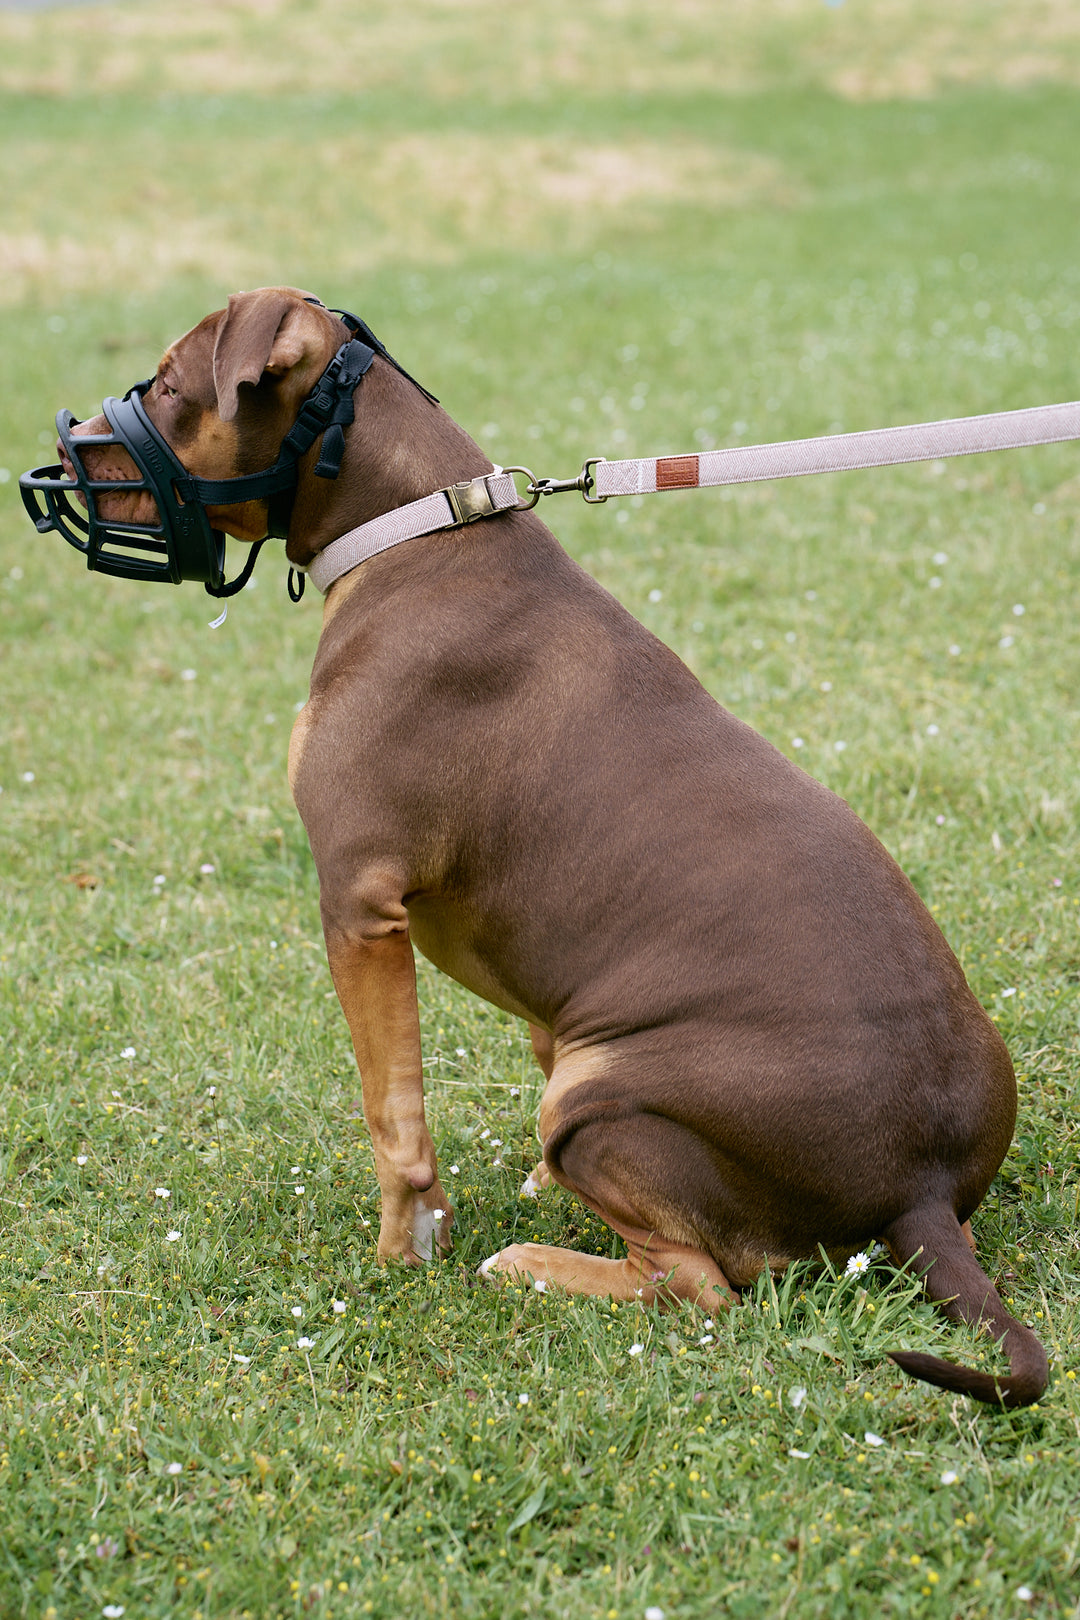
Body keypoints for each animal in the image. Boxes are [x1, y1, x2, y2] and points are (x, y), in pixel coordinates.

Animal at [57, 291, 1049, 1406]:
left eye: (168, 382)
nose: (55, 454)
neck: (409, 530)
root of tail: (925, 1193)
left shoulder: (355, 901)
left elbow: (394, 1118)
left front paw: (403, 1254)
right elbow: (514, 1037)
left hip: (599, 1091)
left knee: (698, 1286)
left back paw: (532, 1263)